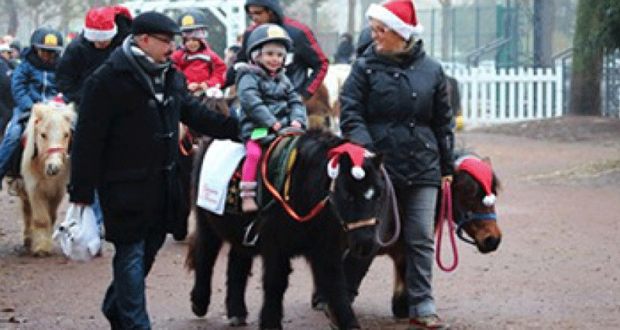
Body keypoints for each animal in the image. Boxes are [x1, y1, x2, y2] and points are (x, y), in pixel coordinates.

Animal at [9, 102, 75, 256]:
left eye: (66, 134)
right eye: (43, 134)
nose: (54, 167)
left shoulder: (58, 190)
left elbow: (51, 216)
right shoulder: (34, 188)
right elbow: (41, 219)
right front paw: (41, 248)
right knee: (26, 210)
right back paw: (28, 238)